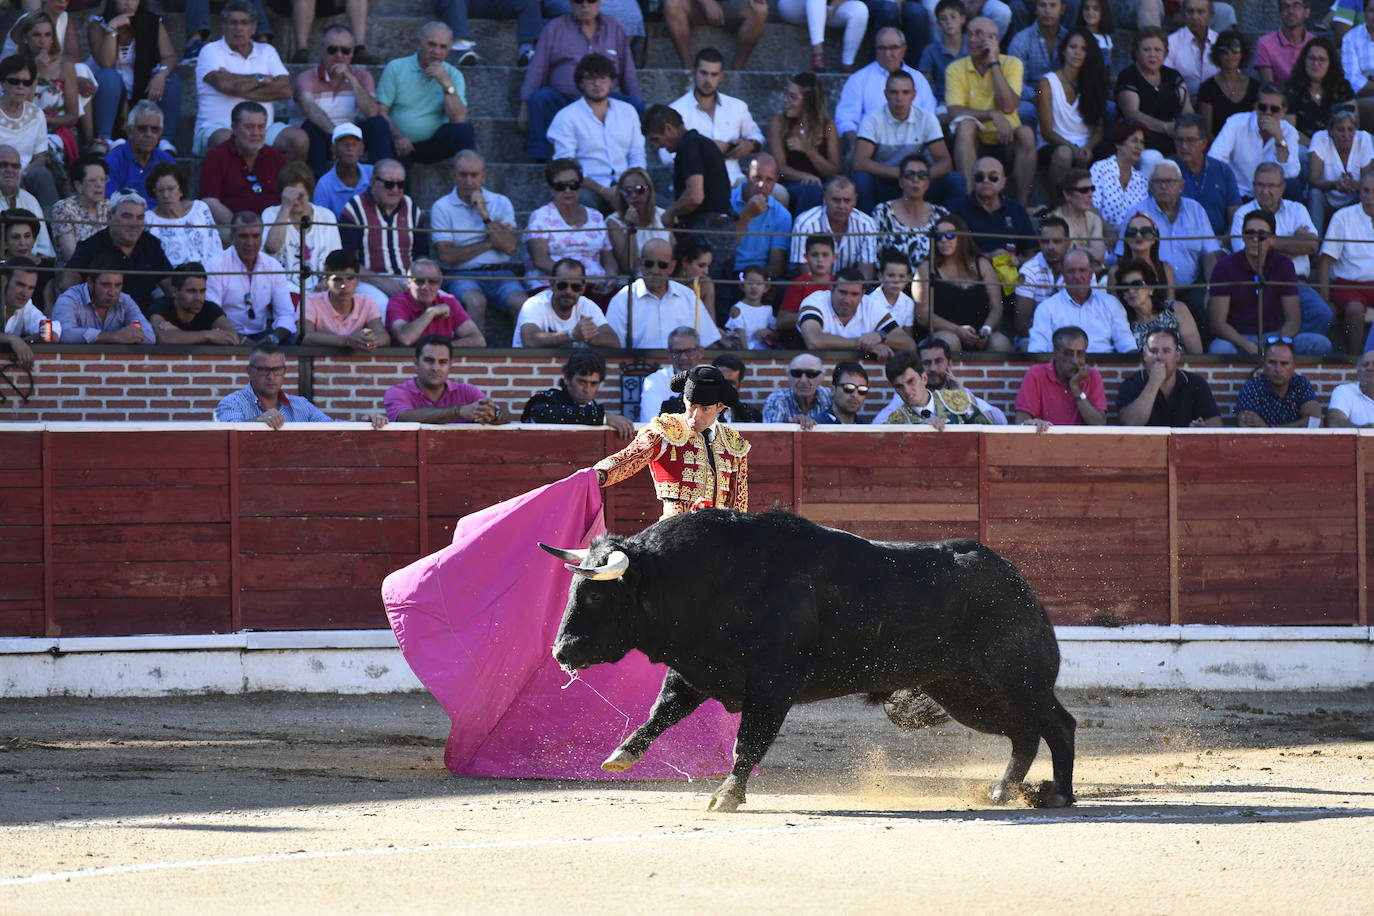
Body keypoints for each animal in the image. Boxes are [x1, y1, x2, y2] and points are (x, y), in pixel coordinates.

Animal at [535, 508, 1071, 818]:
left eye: (597, 595)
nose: (562, 651)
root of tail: (1014, 577)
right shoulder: (697, 671)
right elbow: (660, 712)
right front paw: (621, 755)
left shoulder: (772, 686)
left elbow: (747, 743)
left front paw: (726, 796)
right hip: (965, 692)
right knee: (1024, 734)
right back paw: (1002, 792)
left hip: (1019, 680)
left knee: (1057, 724)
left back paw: (1059, 795)